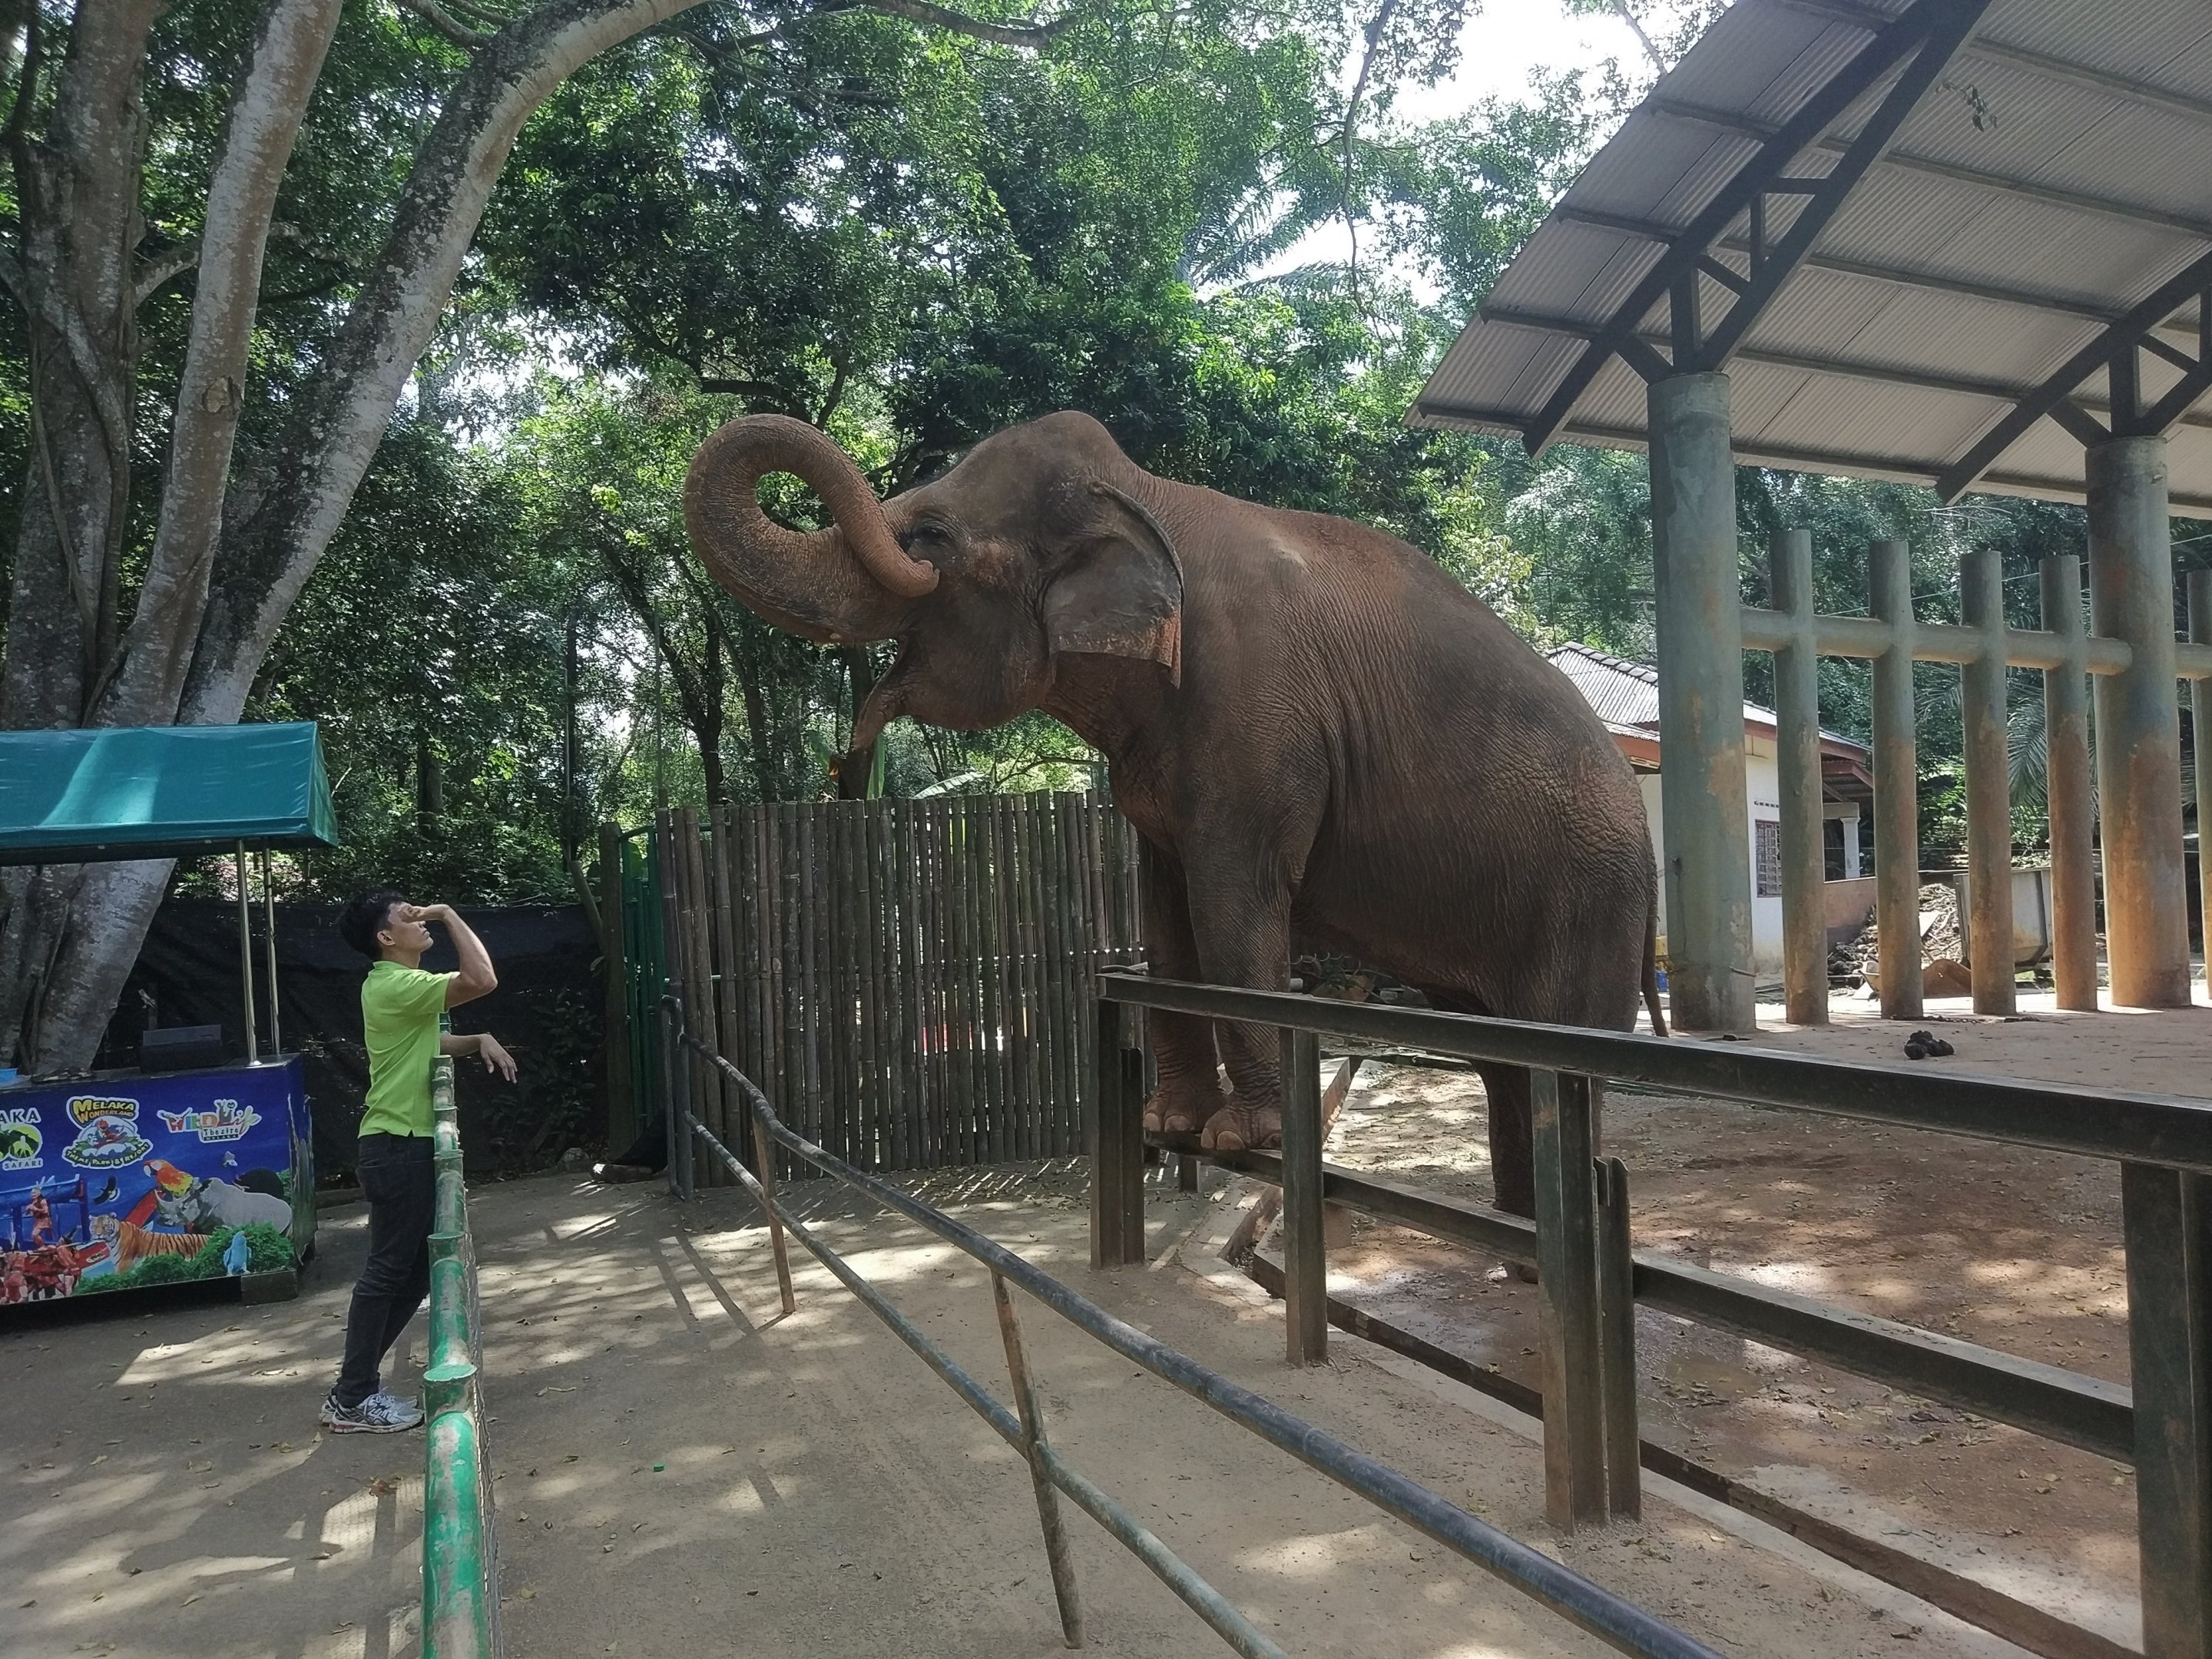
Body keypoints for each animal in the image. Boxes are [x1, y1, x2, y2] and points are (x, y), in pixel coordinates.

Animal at [683, 411, 1664, 1218]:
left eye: (931, 537)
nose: (848, 764)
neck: (1147, 493)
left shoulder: (1258, 727)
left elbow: (1231, 910)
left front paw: (1241, 1138)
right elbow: (1163, 915)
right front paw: (1168, 1124)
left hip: (1590, 905)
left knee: (1560, 1069)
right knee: (1508, 1073)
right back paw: (1520, 1247)